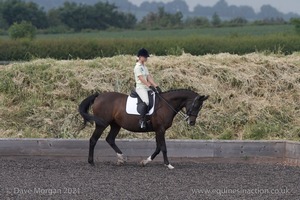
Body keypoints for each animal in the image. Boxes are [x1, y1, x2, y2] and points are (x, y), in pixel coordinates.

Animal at [78, 89, 209, 169]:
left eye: (200, 107)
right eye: (196, 105)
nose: (191, 122)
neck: (166, 104)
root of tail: (98, 96)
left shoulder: (158, 130)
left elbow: (158, 148)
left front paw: (145, 162)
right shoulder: (160, 129)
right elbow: (163, 147)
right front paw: (168, 164)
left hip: (115, 125)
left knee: (110, 139)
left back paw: (121, 159)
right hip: (102, 124)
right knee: (93, 140)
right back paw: (91, 162)